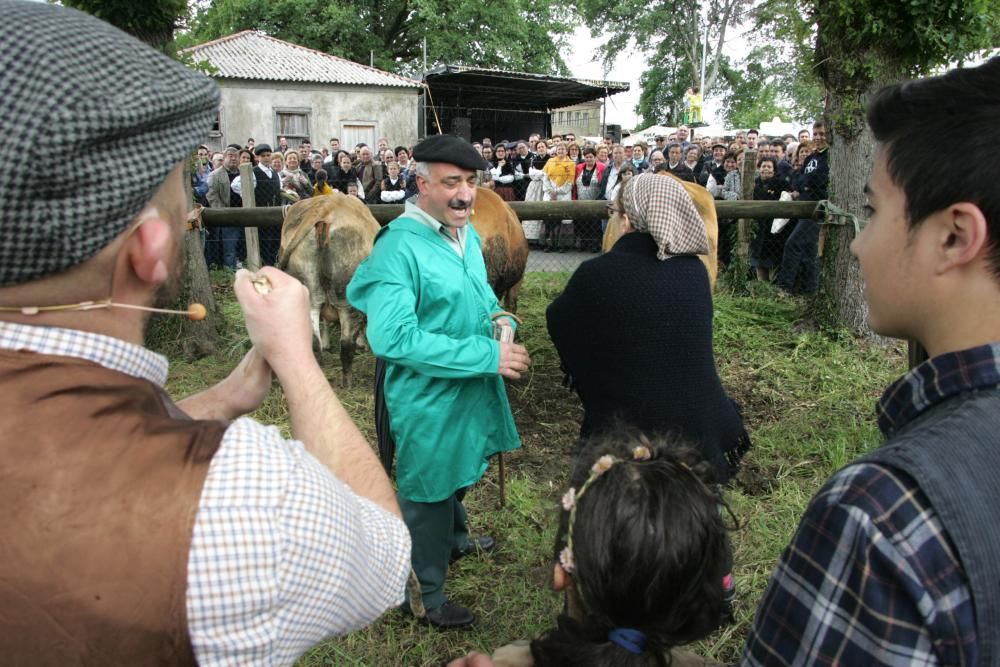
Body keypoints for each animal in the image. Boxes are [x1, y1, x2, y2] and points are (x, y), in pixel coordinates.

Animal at [278, 192, 378, 386]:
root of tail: (327, 204)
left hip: (307, 290)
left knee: (312, 339)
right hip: (346, 299)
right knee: (346, 343)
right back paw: (347, 382)